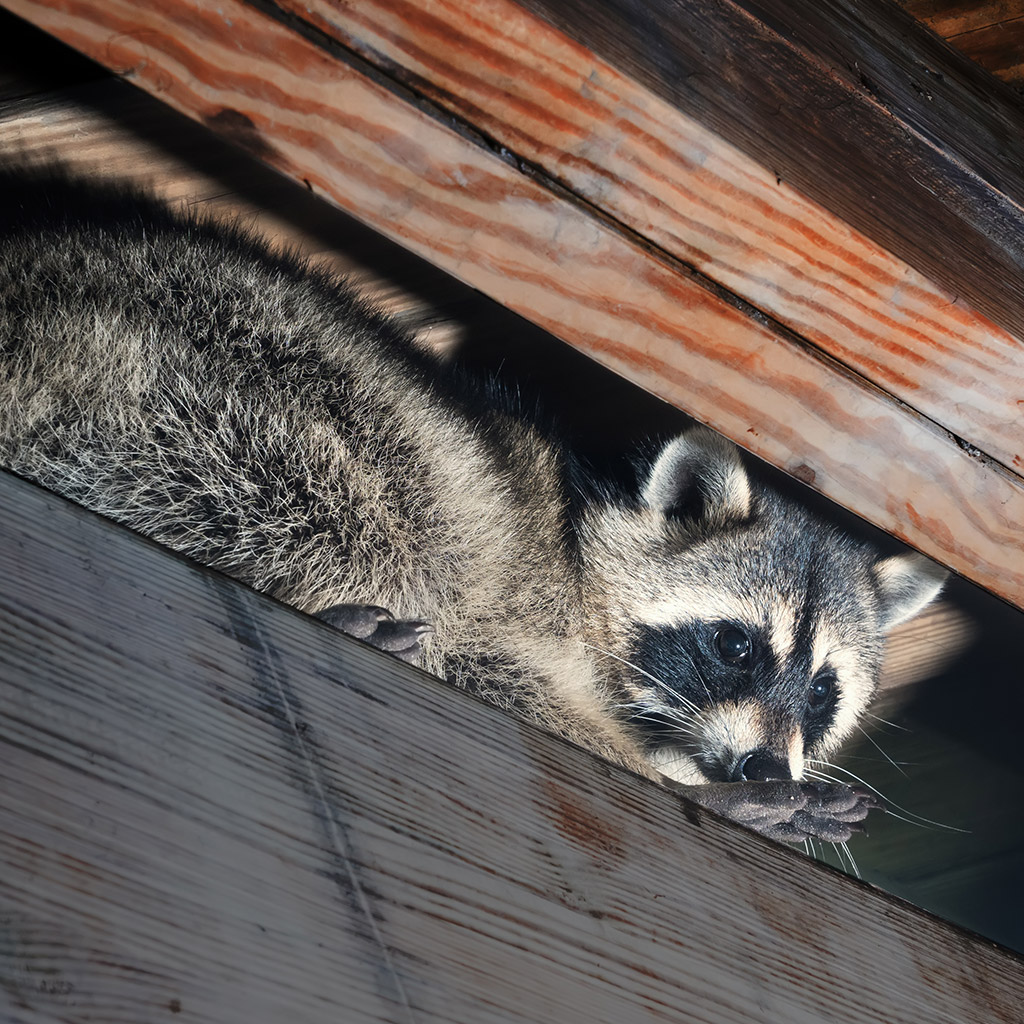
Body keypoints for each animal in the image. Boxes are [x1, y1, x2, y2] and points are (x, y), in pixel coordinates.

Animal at [0, 171, 945, 844]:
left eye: (822, 691)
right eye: (735, 645)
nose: (757, 770)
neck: (582, 544)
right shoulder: (518, 597)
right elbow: (485, 660)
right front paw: (673, 780)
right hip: (188, 380)